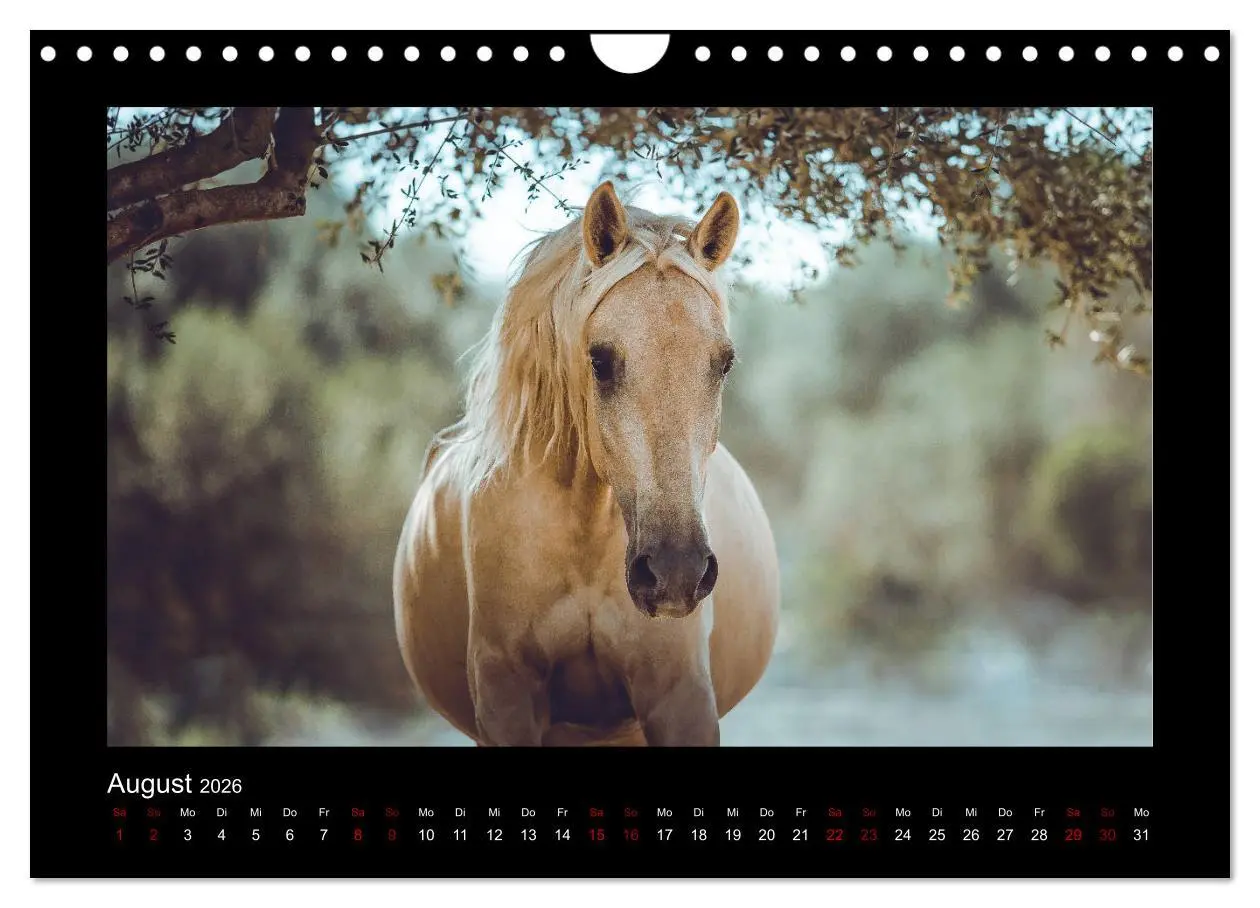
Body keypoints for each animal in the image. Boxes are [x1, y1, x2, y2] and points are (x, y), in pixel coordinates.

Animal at [392, 181, 780, 746]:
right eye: (599, 359)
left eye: (725, 362)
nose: (676, 571)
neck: (584, 541)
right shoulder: (506, 699)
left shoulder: (679, 698)